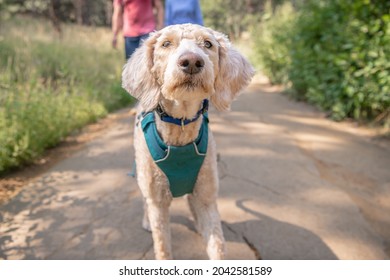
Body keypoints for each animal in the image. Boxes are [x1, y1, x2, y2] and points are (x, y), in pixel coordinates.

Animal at [122, 24, 256, 260]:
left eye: (208, 44)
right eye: (166, 44)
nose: (192, 61)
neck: (181, 128)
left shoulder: (206, 196)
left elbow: (217, 245)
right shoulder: (158, 202)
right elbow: (163, 247)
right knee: (145, 201)